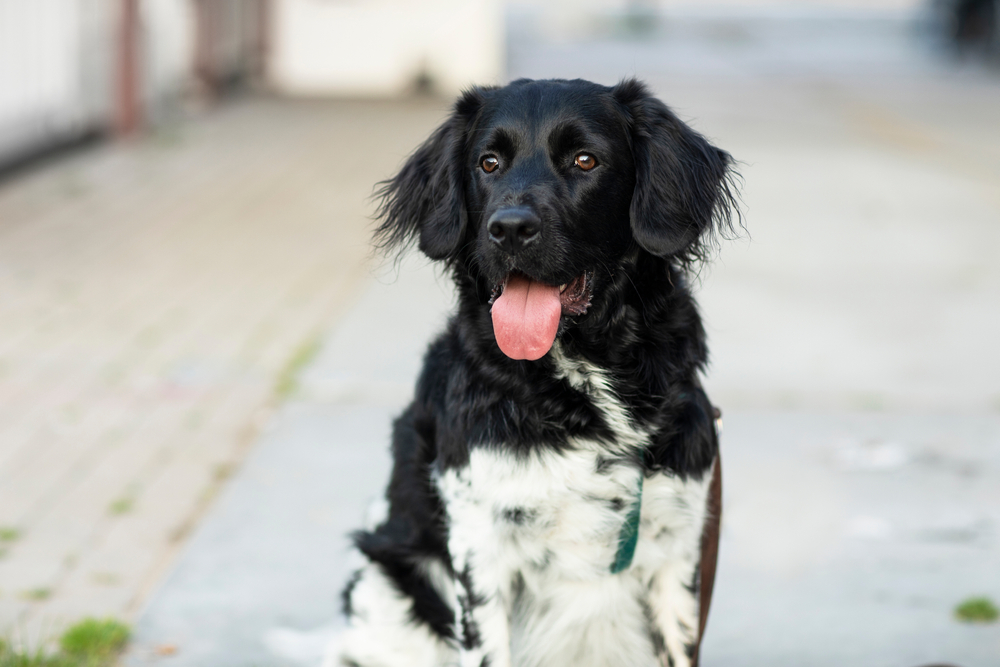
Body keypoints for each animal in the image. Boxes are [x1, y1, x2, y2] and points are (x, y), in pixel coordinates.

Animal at [332, 77, 740, 667]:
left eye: (585, 160)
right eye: (488, 163)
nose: (508, 229)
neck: (583, 386)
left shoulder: (678, 548)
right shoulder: (482, 552)